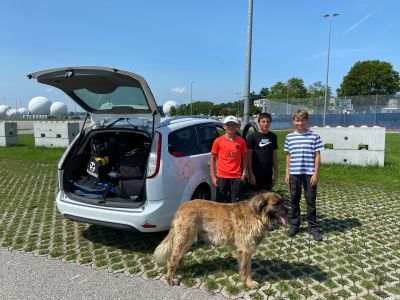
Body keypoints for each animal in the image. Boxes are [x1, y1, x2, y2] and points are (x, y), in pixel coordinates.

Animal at [152, 192, 288, 288]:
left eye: (282, 201)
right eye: (277, 204)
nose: (288, 210)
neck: (257, 216)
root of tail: (181, 207)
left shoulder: (248, 251)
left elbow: (248, 268)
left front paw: (248, 282)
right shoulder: (245, 250)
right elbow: (246, 269)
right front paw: (248, 283)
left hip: (189, 239)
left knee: (179, 256)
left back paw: (182, 267)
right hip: (184, 239)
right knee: (172, 259)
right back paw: (170, 278)